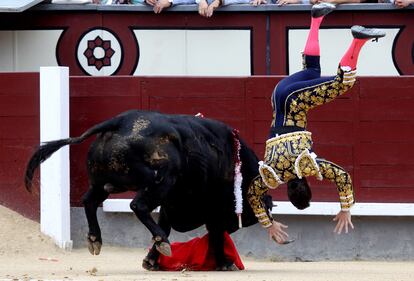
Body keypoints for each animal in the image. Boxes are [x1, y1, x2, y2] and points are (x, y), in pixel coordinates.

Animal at [25, 109, 272, 270]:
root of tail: (119, 121)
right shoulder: (211, 207)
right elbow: (215, 233)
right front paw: (224, 263)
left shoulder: (170, 204)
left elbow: (167, 224)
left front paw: (150, 261)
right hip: (160, 180)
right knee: (138, 205)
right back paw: (161, 241)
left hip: (105, 182)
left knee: (90, 200)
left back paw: (95, 239)